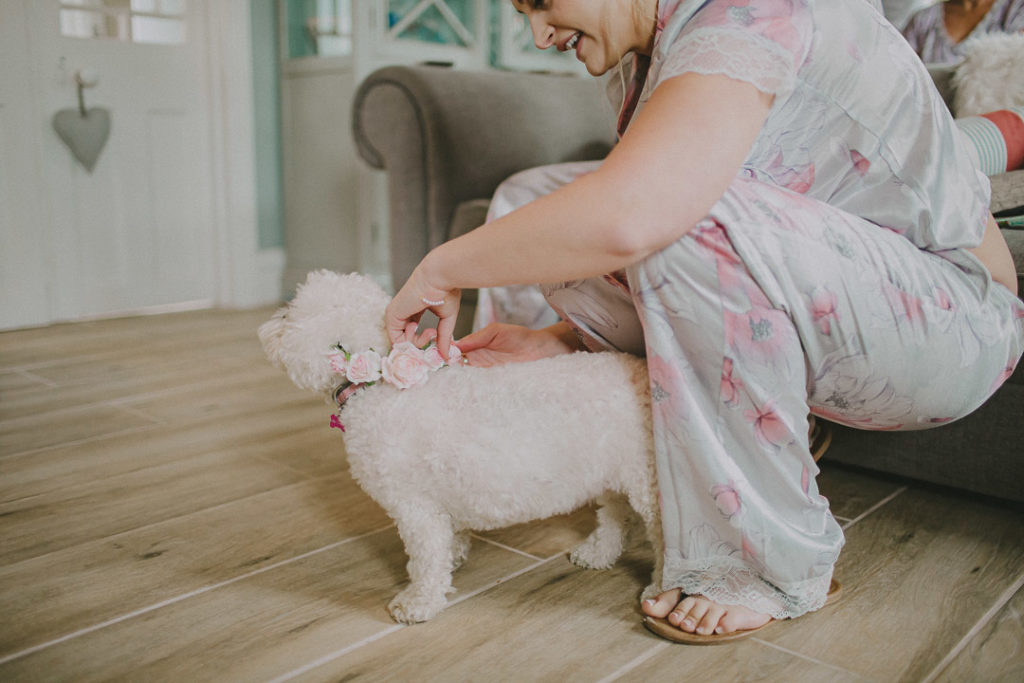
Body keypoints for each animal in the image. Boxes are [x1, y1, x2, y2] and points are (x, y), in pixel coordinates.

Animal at [258, 270, 663, 622]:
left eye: (289, 313)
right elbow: (447, 541)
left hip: (649, 483)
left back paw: (661, 589)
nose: (266, 325)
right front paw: (454, 556)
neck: (377, 387)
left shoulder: (415, 507)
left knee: (663, 535)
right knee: (616, 516)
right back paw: (598, 553)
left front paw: (418, 602)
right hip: (612, 470)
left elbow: (425, 558)